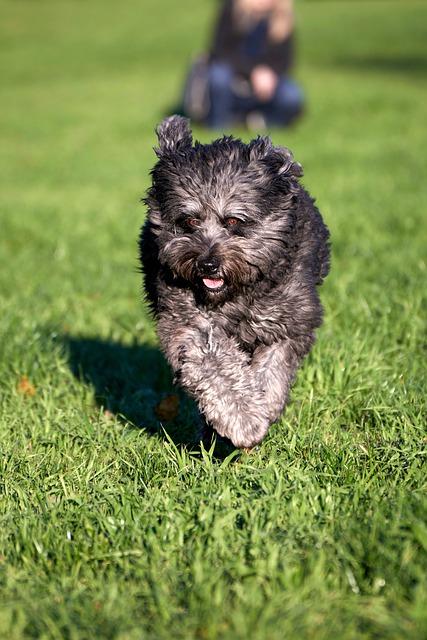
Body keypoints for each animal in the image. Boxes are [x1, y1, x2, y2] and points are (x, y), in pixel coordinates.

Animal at [140, 115, 332, 448]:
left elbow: (272, 370)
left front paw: (262, 408)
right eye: (189, 221)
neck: (236, 294)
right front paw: (242, 418)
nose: (207, 263)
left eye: (233, 221)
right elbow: (214, 366)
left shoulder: (286, 321)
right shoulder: (188, 322)